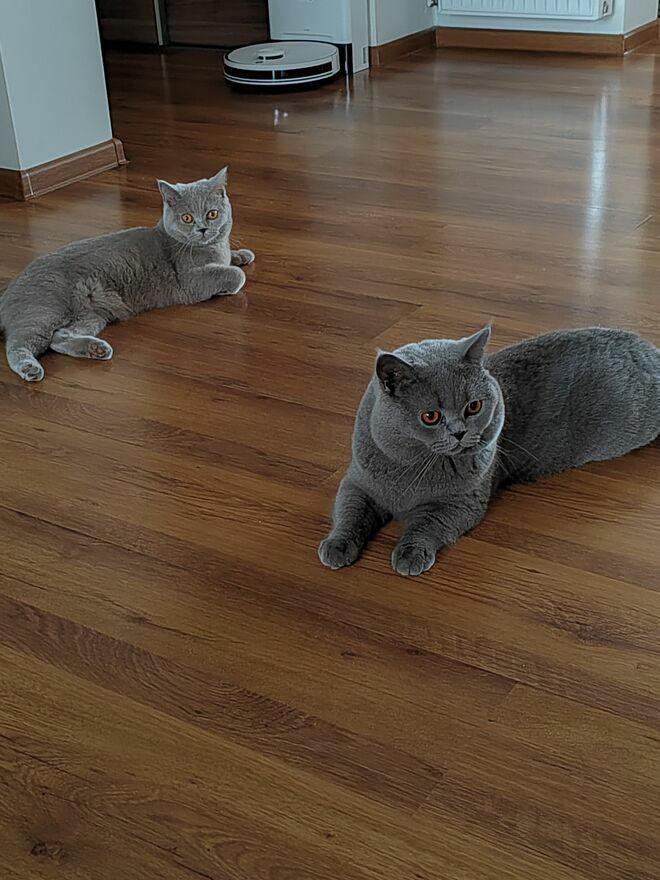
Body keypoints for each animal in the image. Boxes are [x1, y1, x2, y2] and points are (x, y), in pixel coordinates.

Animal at [0, 167, 255, 382]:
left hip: (91, 316)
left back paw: (97, 349)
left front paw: (242, 254)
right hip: (44, 310)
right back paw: (30, 368)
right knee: (18, 343)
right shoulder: (189, 281)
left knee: (58, 338)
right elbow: (234, 275)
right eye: (187, 218)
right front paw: (231, 278)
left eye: (212, 214)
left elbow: (230, 258)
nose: (202, 229)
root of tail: (8, 289)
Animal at [319, 326, 660, 577]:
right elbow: (349, 512)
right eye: (430, 416)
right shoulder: (358, 482)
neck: (412, 470)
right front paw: (336, 547)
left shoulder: (462, 502)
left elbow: (427, 524)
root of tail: (649, 350)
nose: (459, 433)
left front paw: (410, 554)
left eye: (473, 407)